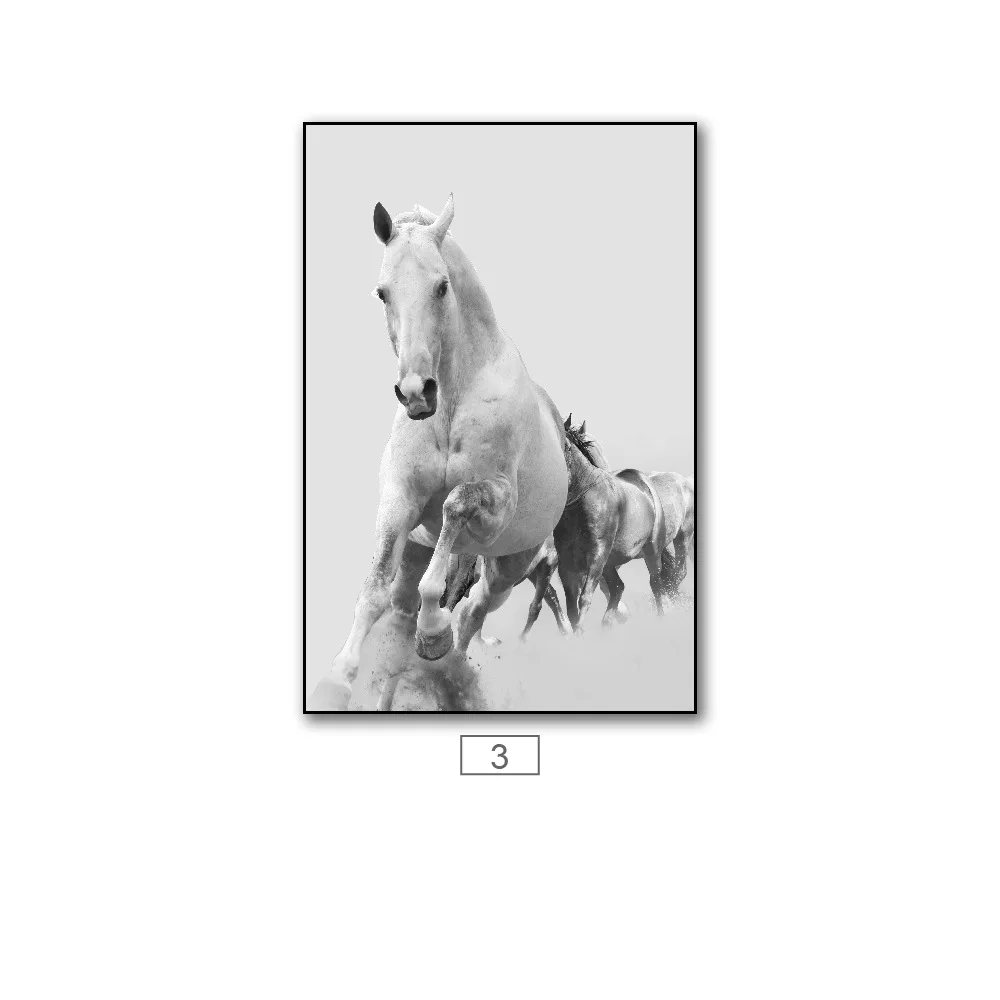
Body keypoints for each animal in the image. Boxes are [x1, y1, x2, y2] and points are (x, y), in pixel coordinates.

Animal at [307, 195, 570, 711]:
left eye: (442, 286)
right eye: (383, 292)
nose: (415, 393)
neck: (452, 402)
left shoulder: (494, 509)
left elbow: (454, 507)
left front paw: (432, 633)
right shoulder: (399, 499)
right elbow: (374, 589)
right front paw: (338, 677)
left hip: (510, 567)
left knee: (474, 611)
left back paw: (447, 661)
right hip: (418, 550)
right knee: (407, 605)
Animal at [554, 417, 670, 630]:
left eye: (565, 445)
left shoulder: (597, 555)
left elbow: (585, 598)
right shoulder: (566, 561)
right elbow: (571, 606)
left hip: (651, 551)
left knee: (656, 585)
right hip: (610, 563)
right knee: (618, 587)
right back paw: (606, 626)